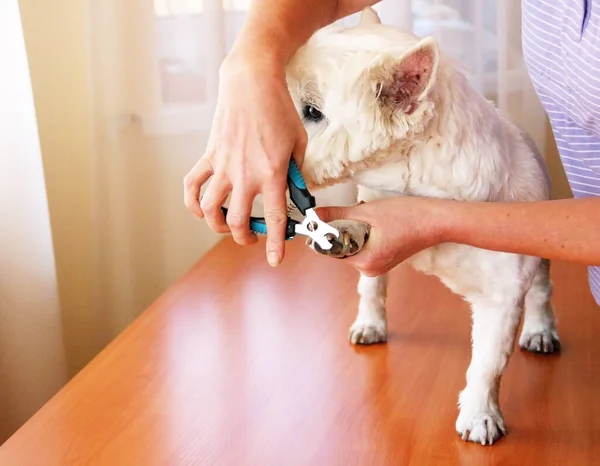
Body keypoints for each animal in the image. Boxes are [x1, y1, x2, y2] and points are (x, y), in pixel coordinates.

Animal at [284, 6, 560, 444]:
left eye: (312, 111)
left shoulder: (501, 294)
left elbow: (488, 362)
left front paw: (481, 415)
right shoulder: (376, 203)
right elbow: (368, 276)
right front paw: (345, 236)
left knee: (541, 291)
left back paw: (540, 329)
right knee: (373, 287)